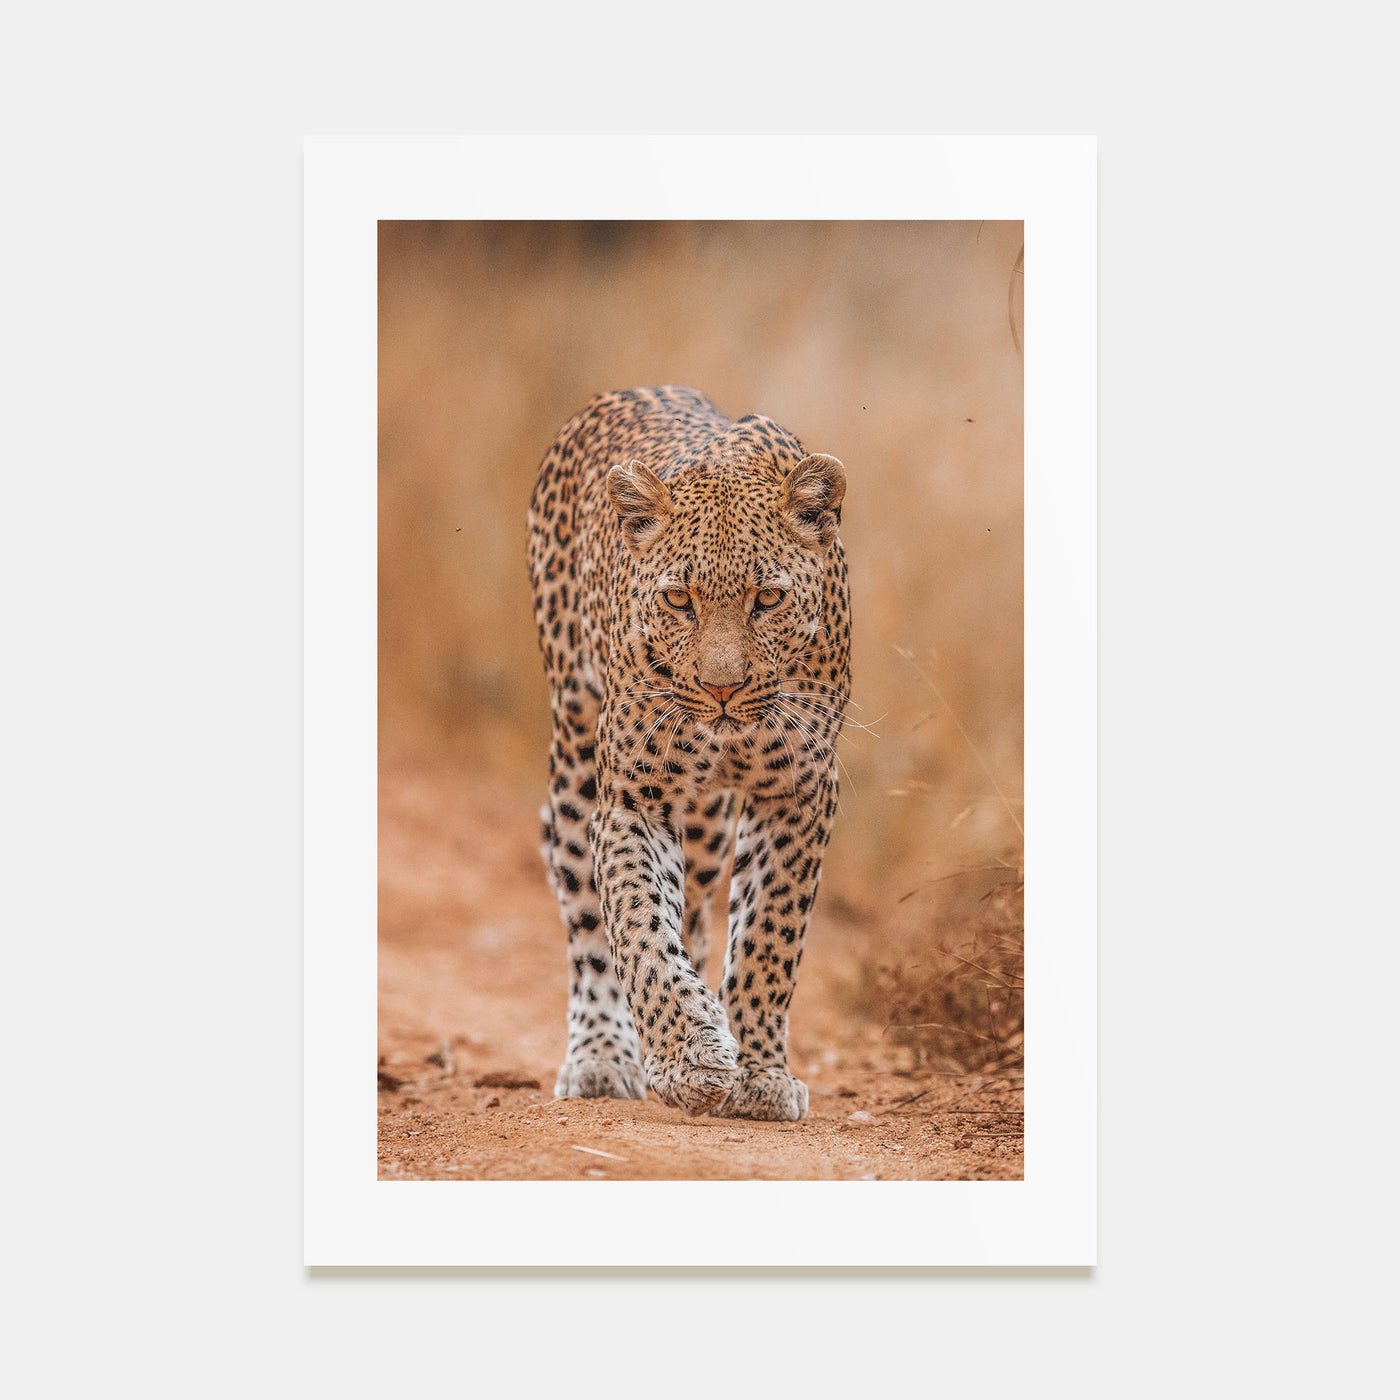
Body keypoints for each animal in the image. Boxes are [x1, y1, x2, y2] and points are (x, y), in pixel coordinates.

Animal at [527, 385, 850, 1122]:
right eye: (678, 598)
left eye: (768, 598)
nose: (721, 688)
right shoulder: (633, 796)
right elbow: (639, 926)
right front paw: (688, 1056)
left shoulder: (799, 790)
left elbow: (767, 936)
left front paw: (758, 1072)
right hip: (574, 757)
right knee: (587, 917)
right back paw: (602, 1056)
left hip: (706, 825)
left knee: (700, 911)